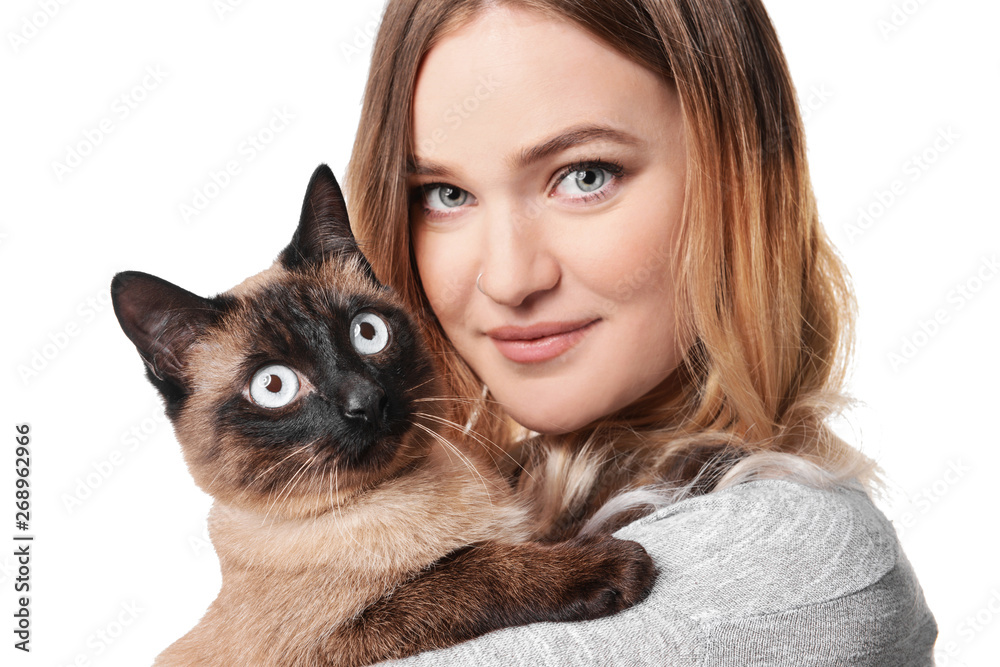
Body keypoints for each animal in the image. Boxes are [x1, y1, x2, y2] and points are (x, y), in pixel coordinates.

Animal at [111, 163, 656, 667]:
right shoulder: (330, 645)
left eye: (367, 332)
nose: (366, 402)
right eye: (274, 385)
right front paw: (609, 564)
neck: (398, 490)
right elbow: (468, 568)